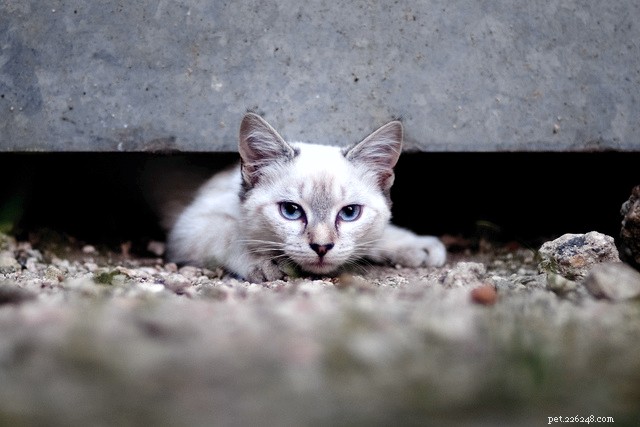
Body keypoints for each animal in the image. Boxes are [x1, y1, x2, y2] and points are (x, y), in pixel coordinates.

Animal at [165, 112, 444, 282]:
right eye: (291, 211)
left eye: (349, 213)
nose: (322, 247)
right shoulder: (190, 227)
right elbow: (231, 233)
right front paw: (267, 261)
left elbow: (380, 234)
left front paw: (416, 246)